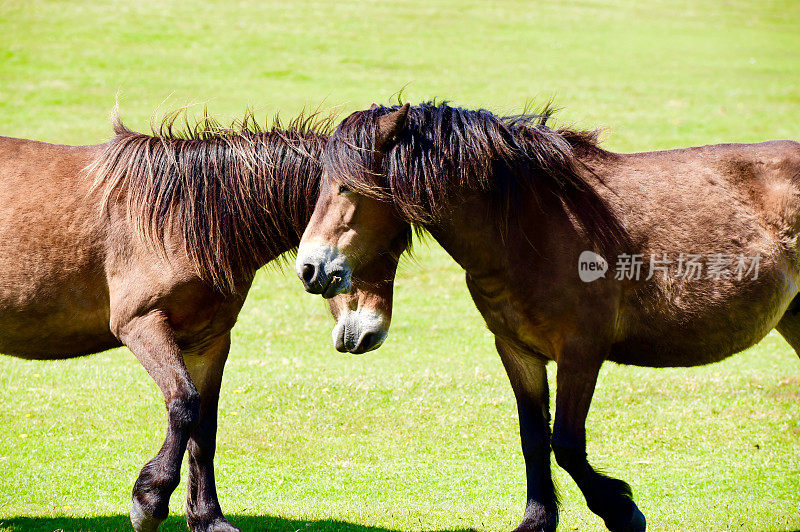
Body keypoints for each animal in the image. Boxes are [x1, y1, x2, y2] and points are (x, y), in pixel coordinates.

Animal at [0, 109, 398, 532]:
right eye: (385, 240)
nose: (370, 332)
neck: (182, 216)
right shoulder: (141, 324)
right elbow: (184, 403)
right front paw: (150, 501)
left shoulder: (209, 340)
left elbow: (205, 426)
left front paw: (208, 518)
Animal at [296, 102, 800, 528]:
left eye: (347, 187)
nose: (309, 269)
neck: (531, 227)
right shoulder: (517, 351)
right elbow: (535, 438)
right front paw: (538, 520)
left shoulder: (581, 352)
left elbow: (568, 444)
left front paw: (622, 511)